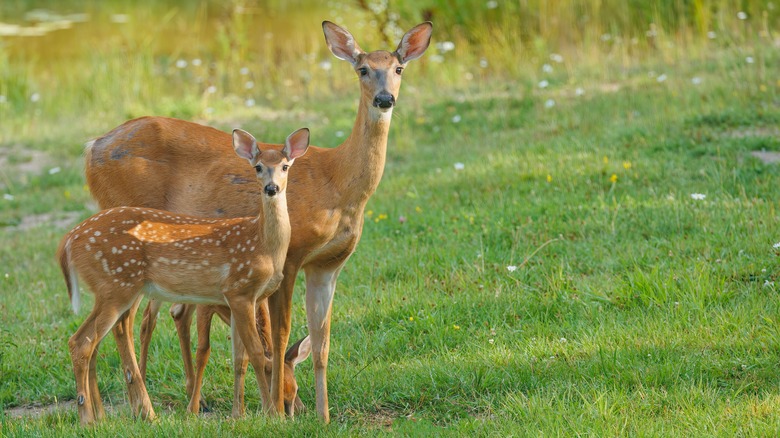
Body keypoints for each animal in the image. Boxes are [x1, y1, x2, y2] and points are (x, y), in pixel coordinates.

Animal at [58, 127, 310, 424]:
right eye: (258, 167)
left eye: (285, 166)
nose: (272, 188)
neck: (263, 245)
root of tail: (68, 240)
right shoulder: (239, 291)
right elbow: (255, 354)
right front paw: (270, 414)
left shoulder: (243, 299)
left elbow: (240, 357)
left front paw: (239, 414)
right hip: (116, 286)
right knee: (85, 341)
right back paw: (93, 418)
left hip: (109, 290)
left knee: (94, 340)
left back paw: (101, 416)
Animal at [85, 20, 432, 420]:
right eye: (362, 69)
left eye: (398, 68)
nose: (384, 99)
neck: (338, 183)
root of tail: (91, 148)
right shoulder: (292, 255)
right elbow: (280, 335)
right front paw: (278, 410)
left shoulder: (329, 264)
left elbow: (322, 342)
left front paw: (323, 416)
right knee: (123, 322)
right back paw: (143, 409)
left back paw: (110, 408)